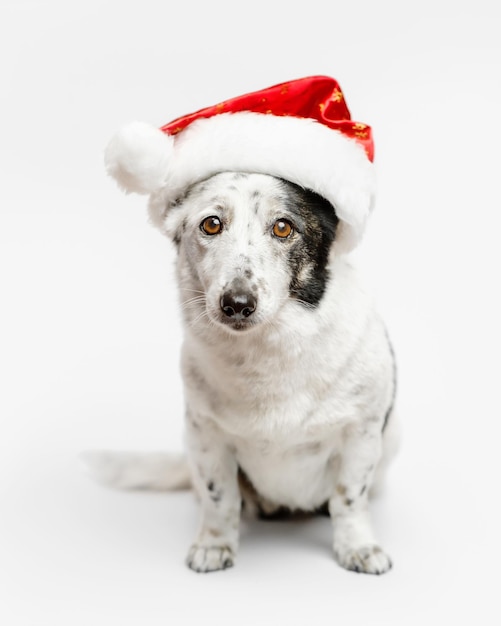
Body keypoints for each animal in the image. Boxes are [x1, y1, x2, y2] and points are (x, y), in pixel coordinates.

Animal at [86, 168, 398, 572]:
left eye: (283, 227)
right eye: (211, 224)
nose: (236, 303)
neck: (266, 353)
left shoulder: (361, 435)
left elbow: (348, 498)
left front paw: (358, 547)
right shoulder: (206, 437)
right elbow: (220, 499)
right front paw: (214, 545)